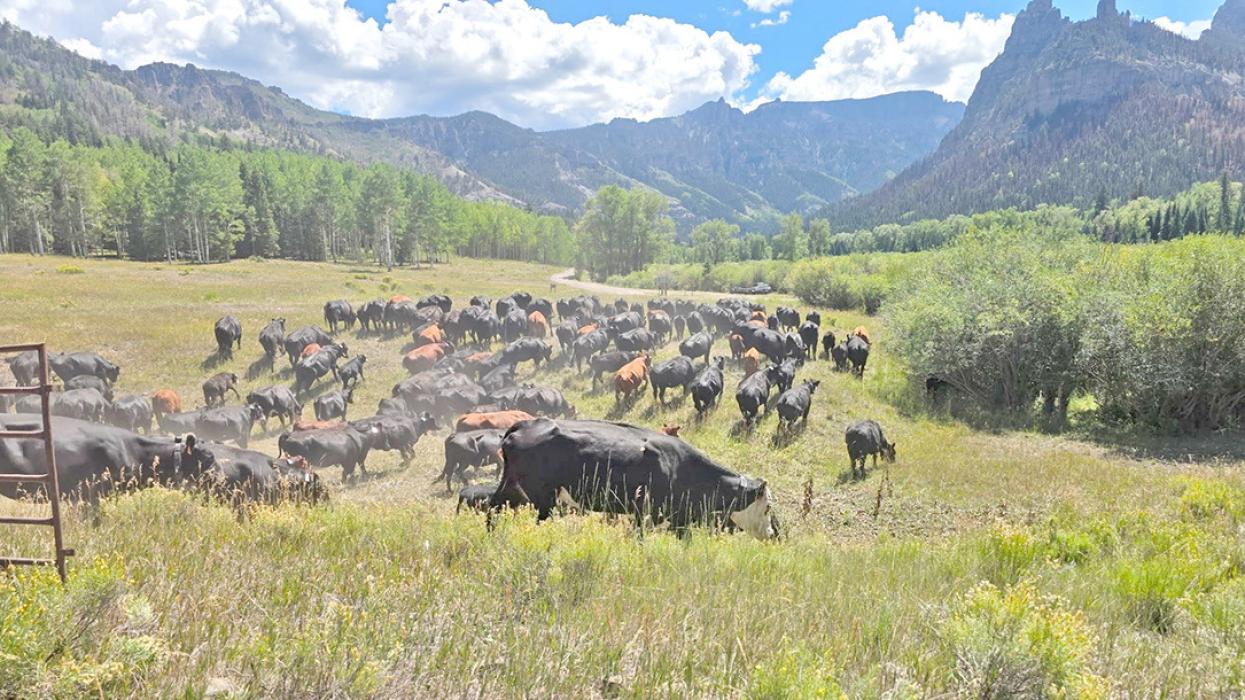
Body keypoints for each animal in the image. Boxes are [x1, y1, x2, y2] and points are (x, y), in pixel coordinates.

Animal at [491, 418, 778, 539]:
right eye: (768, 507)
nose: (773, 533)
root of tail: (526, 424)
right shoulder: (644, 513)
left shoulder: (678, 520)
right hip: (543, 500)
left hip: (510, 488)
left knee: (493, 511)